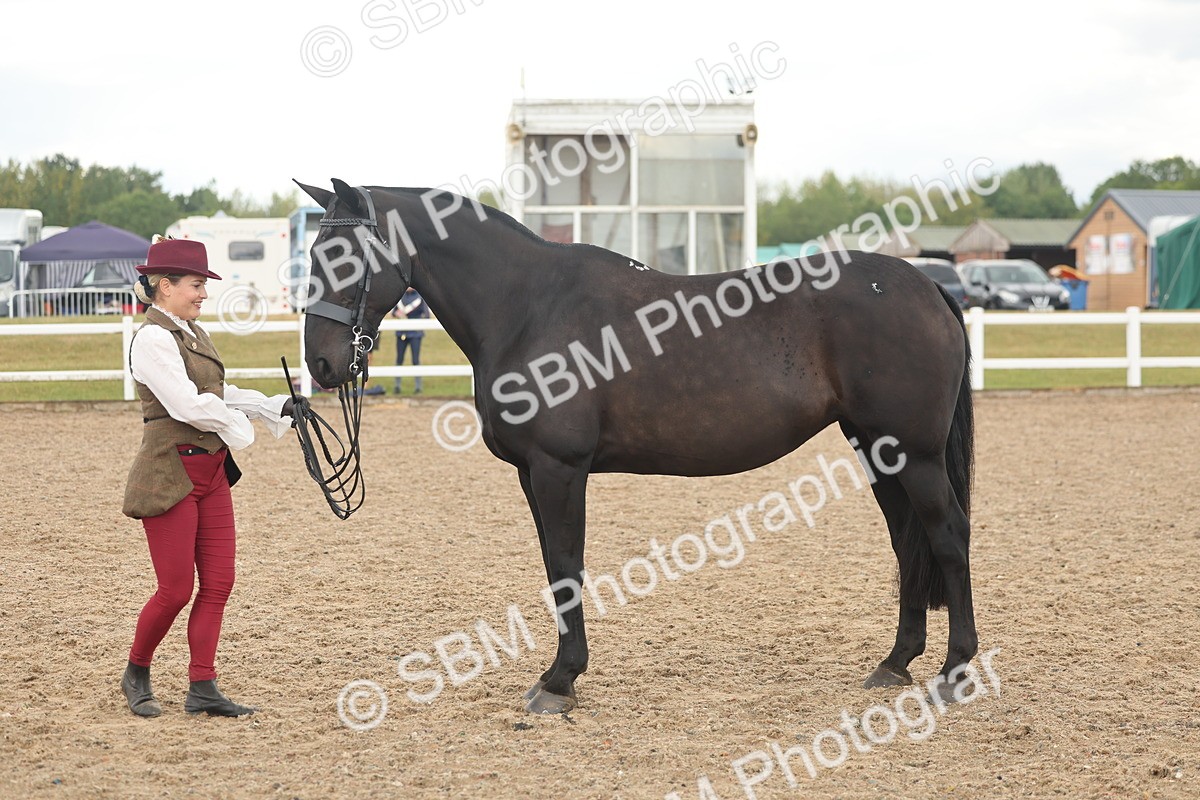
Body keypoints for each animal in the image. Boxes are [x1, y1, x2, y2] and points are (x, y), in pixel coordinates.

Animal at [294, 178, 977, 714]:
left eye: (344, 256)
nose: (322, 364)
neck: (526, 305)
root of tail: (926, 286)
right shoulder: (532, 475)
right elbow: (553, 567)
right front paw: (559, 674)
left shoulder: (559, 469)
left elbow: (567, 563)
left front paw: (559, 682)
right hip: (877, 450)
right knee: (906, 541)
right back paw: (896, 662)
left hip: (913, 454)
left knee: (945, 536)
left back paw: (955, 671)